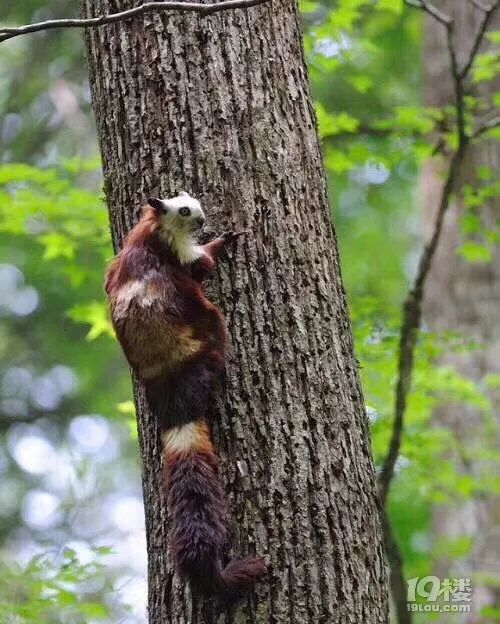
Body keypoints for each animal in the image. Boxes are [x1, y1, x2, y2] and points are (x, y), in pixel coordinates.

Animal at [104, 191, 266, 600]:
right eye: (185, 210)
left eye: (192, 201)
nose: (203, 220)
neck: (150, 231)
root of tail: (174, 395)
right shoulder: (181, 253)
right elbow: (202, 263)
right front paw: (222, 242)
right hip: (210, 323)